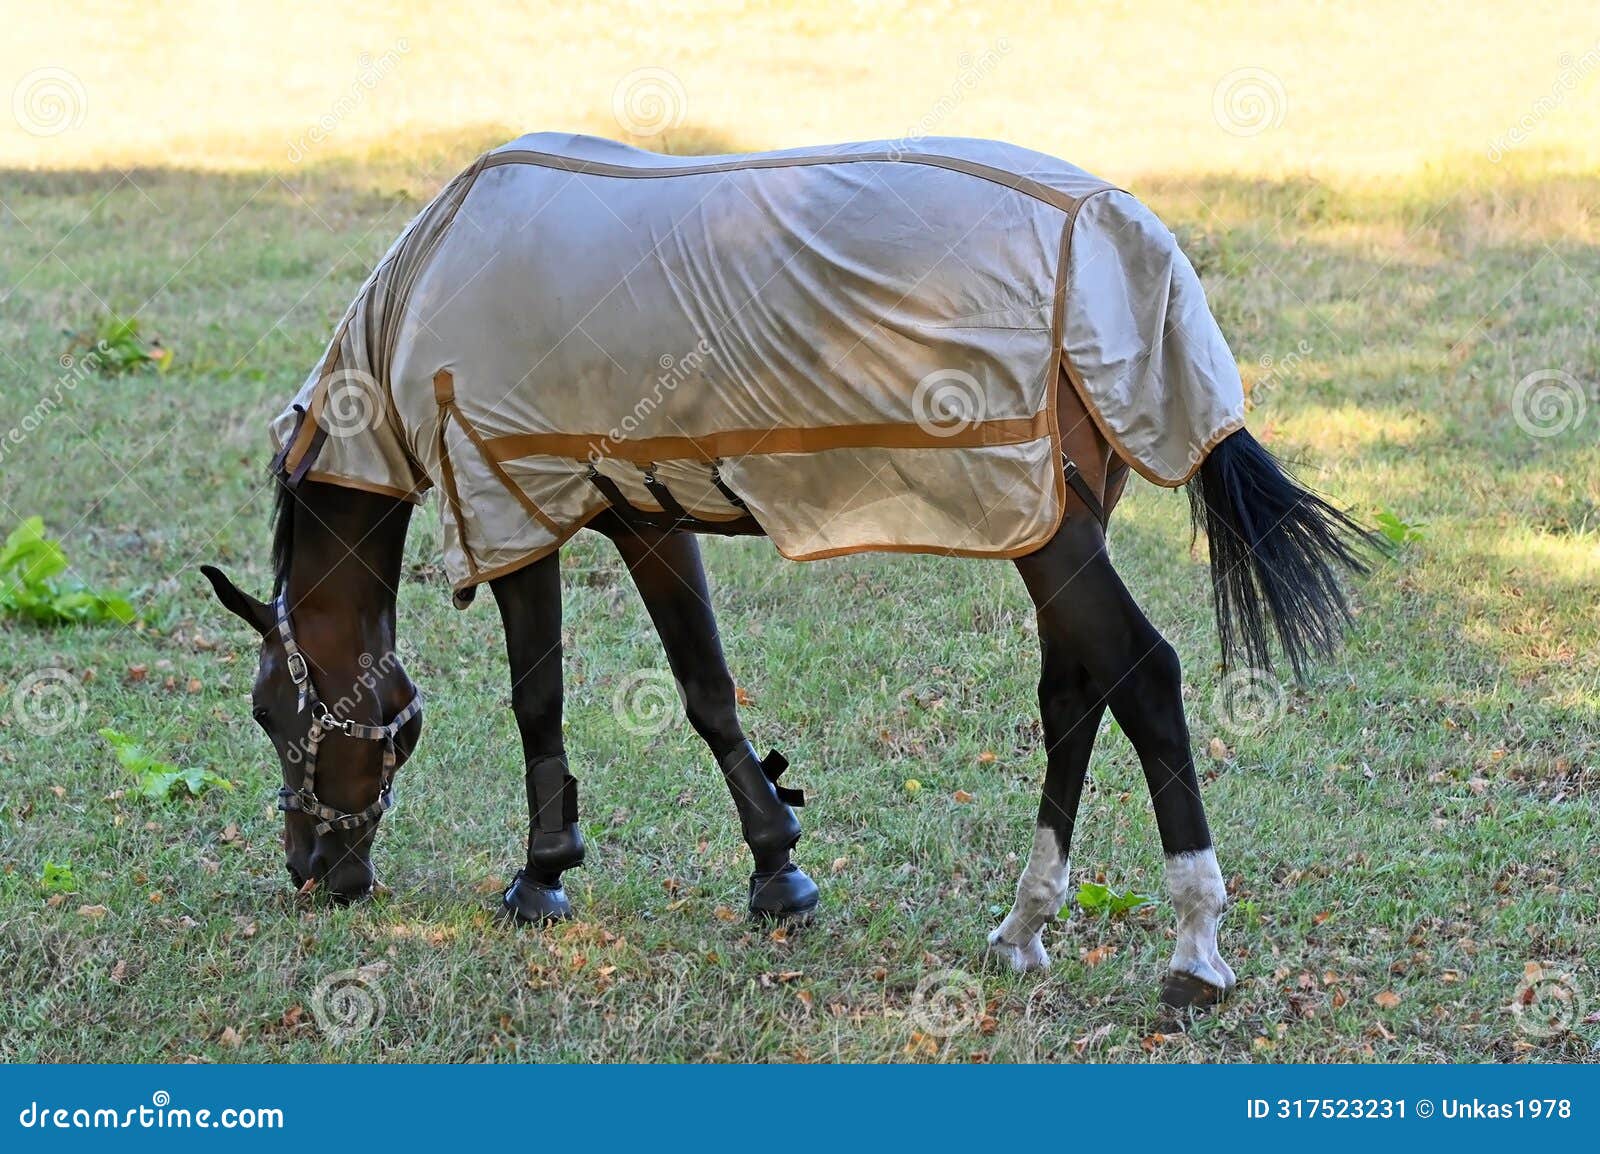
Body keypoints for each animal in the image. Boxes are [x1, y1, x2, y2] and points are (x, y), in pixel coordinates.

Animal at [203, 130, 1376, 1005]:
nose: (313, 871)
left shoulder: (515, 506)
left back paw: (1193, 950)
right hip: (1048, 523)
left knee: (1144, 677)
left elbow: (539, 696)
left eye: (269, 711)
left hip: (1045, 529)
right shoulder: (641, 512)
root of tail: (1114, 229)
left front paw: (541, 875)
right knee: (1073, 693)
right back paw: (1023, 924)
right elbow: (706, 688)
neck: (433, 287)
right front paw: (778, 868)